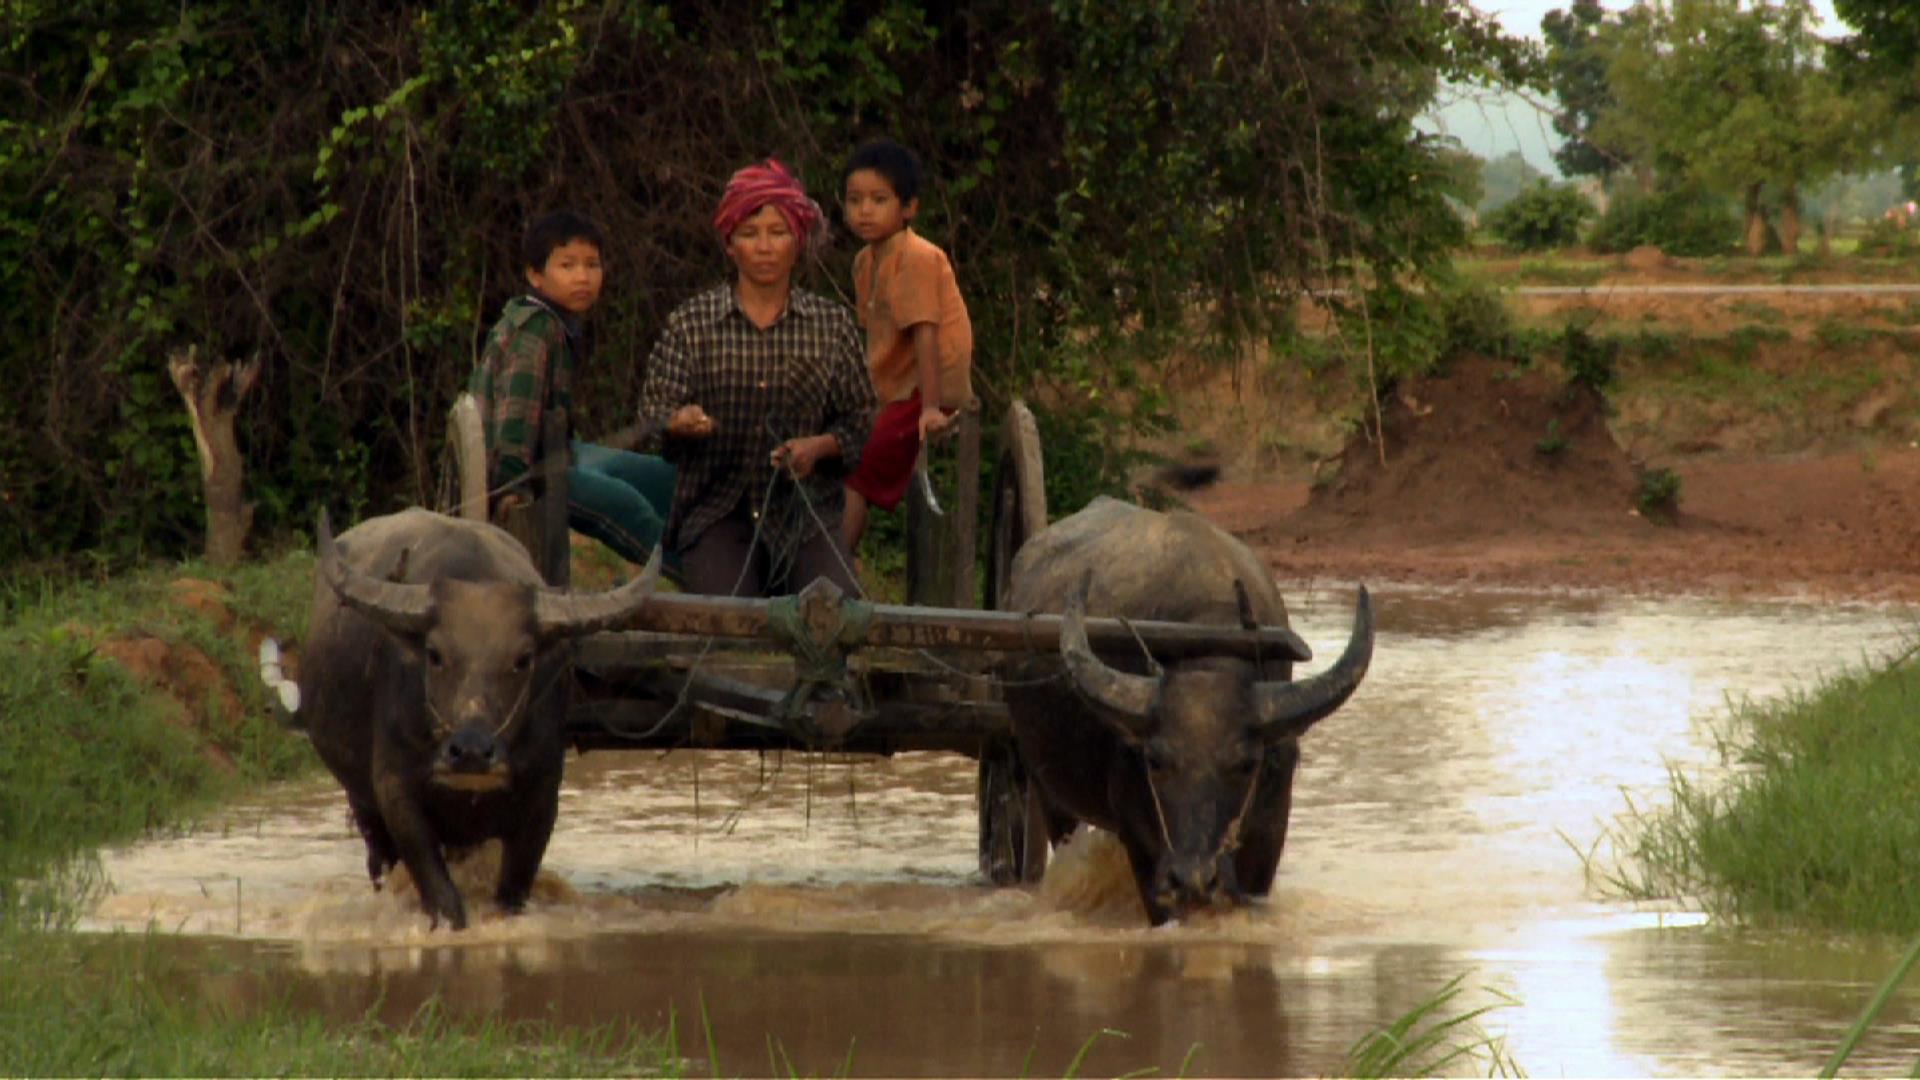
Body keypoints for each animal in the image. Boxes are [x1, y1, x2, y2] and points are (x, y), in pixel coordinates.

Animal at [293, 507, 660, 926]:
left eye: (523, 658)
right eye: (434, 654)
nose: (470, 751)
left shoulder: (542, 796)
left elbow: (512, 891)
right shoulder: (396, 792)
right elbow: (442, 895)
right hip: (361, 801)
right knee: (379, 860)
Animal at [998, 495, 1374, 926]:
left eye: (1246, 765)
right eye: (1156, 761)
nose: (1192, 879)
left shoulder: (1270, 828)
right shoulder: (1142, 841)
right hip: (1048, 791)